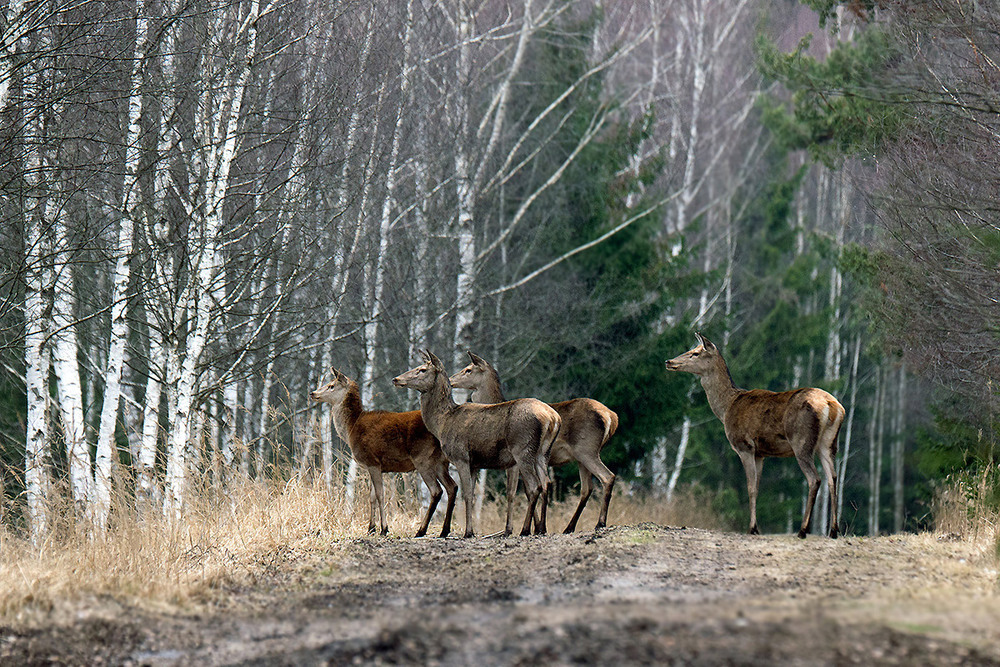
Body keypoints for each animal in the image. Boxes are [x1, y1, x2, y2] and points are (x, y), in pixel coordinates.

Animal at [308, 368, 458, 540]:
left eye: (331, 385)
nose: (313, 393)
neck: (351, 429)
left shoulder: (372, 461)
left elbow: (380, 495)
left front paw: (384, 528)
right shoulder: (375, 467)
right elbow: (372, 496)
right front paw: (371, 528)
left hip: (422, 458)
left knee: (436, 490)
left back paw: (421, 530)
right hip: (441, 461)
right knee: (452, 486)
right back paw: (444, 530)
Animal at [392, 350, 564, 536]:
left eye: (422, 369)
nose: (396, 379)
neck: (442, 423)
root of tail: (553, 418)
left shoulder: (461, 457)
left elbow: (466, 494)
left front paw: (468, 532)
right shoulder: (474, 464)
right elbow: (473, 495)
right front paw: (468, 530)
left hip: (522, 449)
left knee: (534, 486)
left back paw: (525, 530)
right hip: (543, 453)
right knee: (546, 483)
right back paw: (542, 529)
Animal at [448, 352, 616, 536]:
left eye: (468, 369)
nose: (450, 380)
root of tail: (611, 417)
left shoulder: (514, 462)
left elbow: (514, 492)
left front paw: (511, 529)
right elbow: (533, 490)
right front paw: (538, 526)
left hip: (586, 450)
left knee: (607, 477)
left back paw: (600, 523)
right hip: (581, 457)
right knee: (587, 488)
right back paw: (569, 527)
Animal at [664, 332, 844, 540]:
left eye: (695, 352)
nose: (669, 361)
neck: (726, 408)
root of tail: (832, 405)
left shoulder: (744, 446)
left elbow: (750, 488)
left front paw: (752, 528)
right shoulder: (760, 453)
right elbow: (757, 487)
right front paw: (756, 527)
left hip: (801, 441)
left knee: (814, 479)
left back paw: (803, 530)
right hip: (829, 443)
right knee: (833, 477)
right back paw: (833, 530)